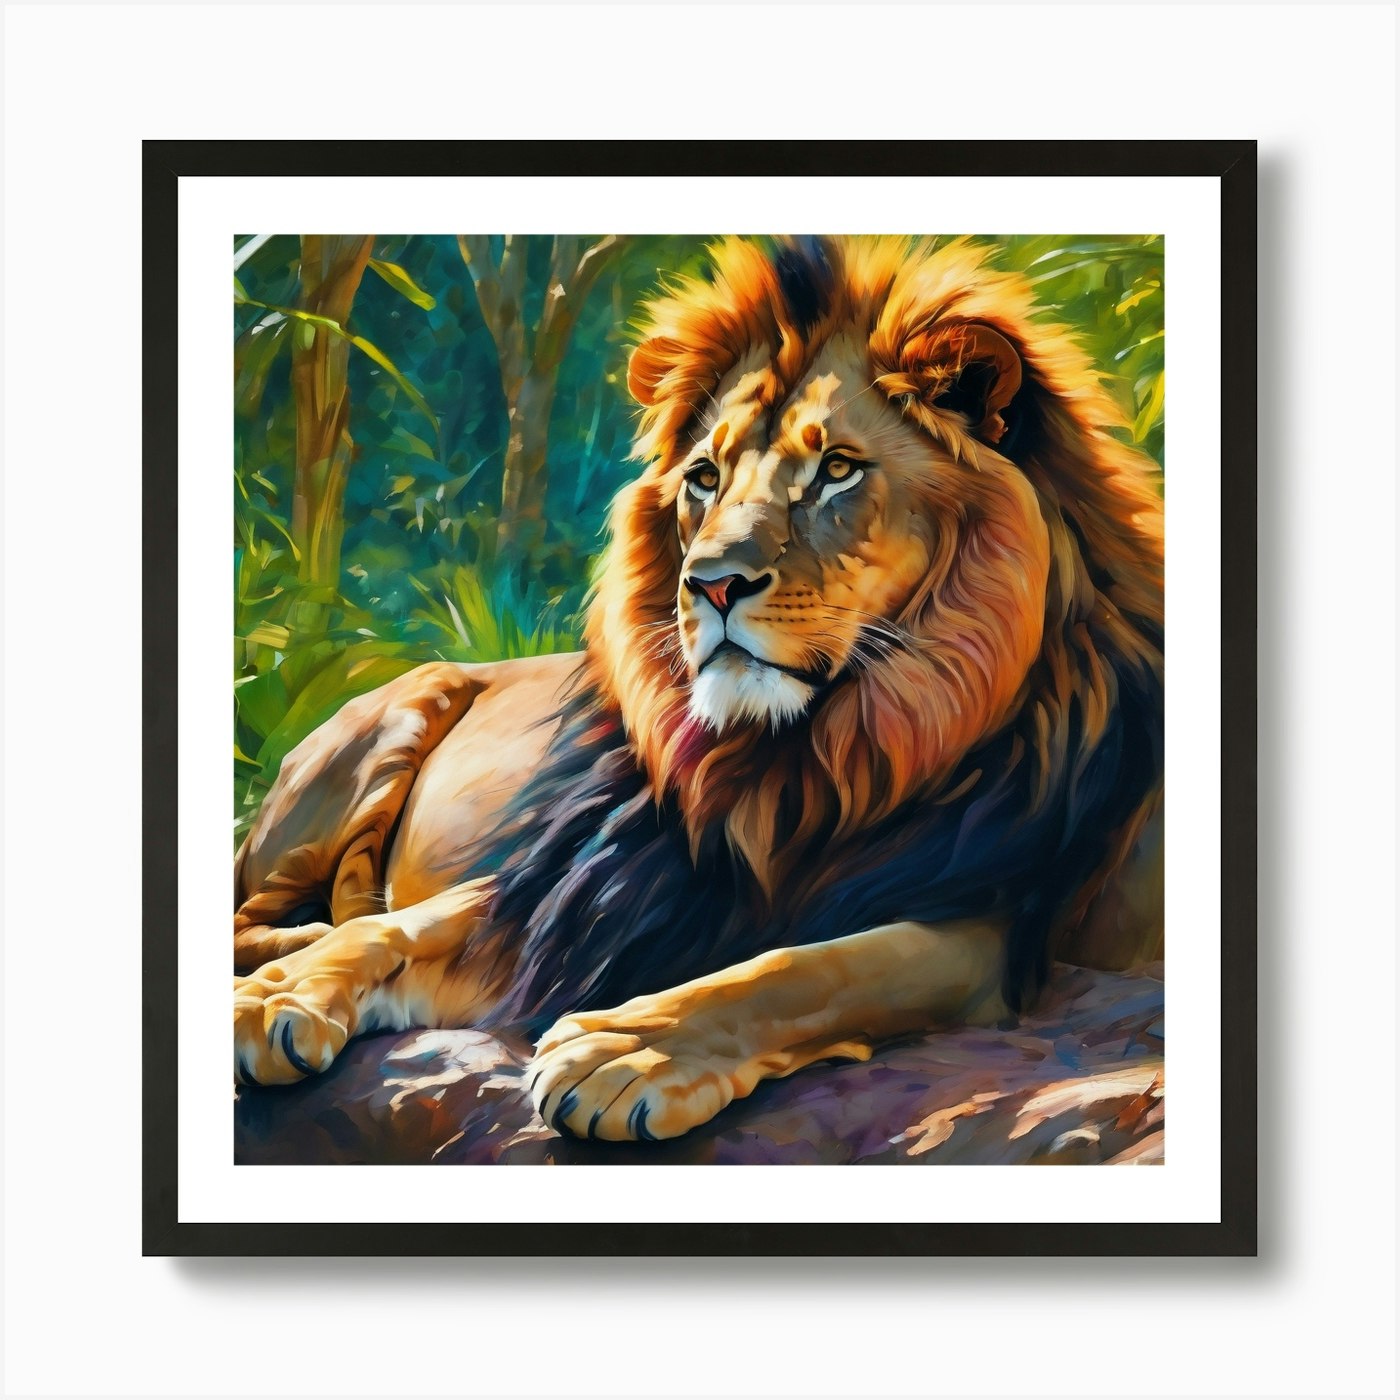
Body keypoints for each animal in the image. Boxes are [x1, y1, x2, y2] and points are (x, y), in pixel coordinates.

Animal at [233, 235, 1164, 1144]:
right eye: (705, 478)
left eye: (837, 469)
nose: (711, 584)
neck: (789, 763)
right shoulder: (579, 879)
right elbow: (399, 925)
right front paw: (280, 994)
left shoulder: (984, 922)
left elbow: (806, 969)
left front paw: (623, 1050)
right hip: (389, 719)